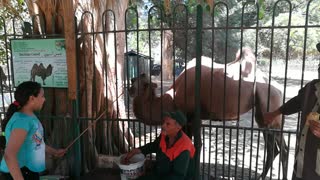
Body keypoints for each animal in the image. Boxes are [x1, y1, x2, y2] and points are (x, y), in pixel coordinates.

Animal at [129, 47, 288, 180]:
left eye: (144, 83)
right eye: (133, 79)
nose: (131, 81)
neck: (173, 97)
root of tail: (278, 88)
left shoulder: (193, 116)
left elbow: (196, 144)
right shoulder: (186, 119)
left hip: (270, 102)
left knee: (283, 149)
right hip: (263, 115)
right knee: (272, 148)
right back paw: (261, 177)